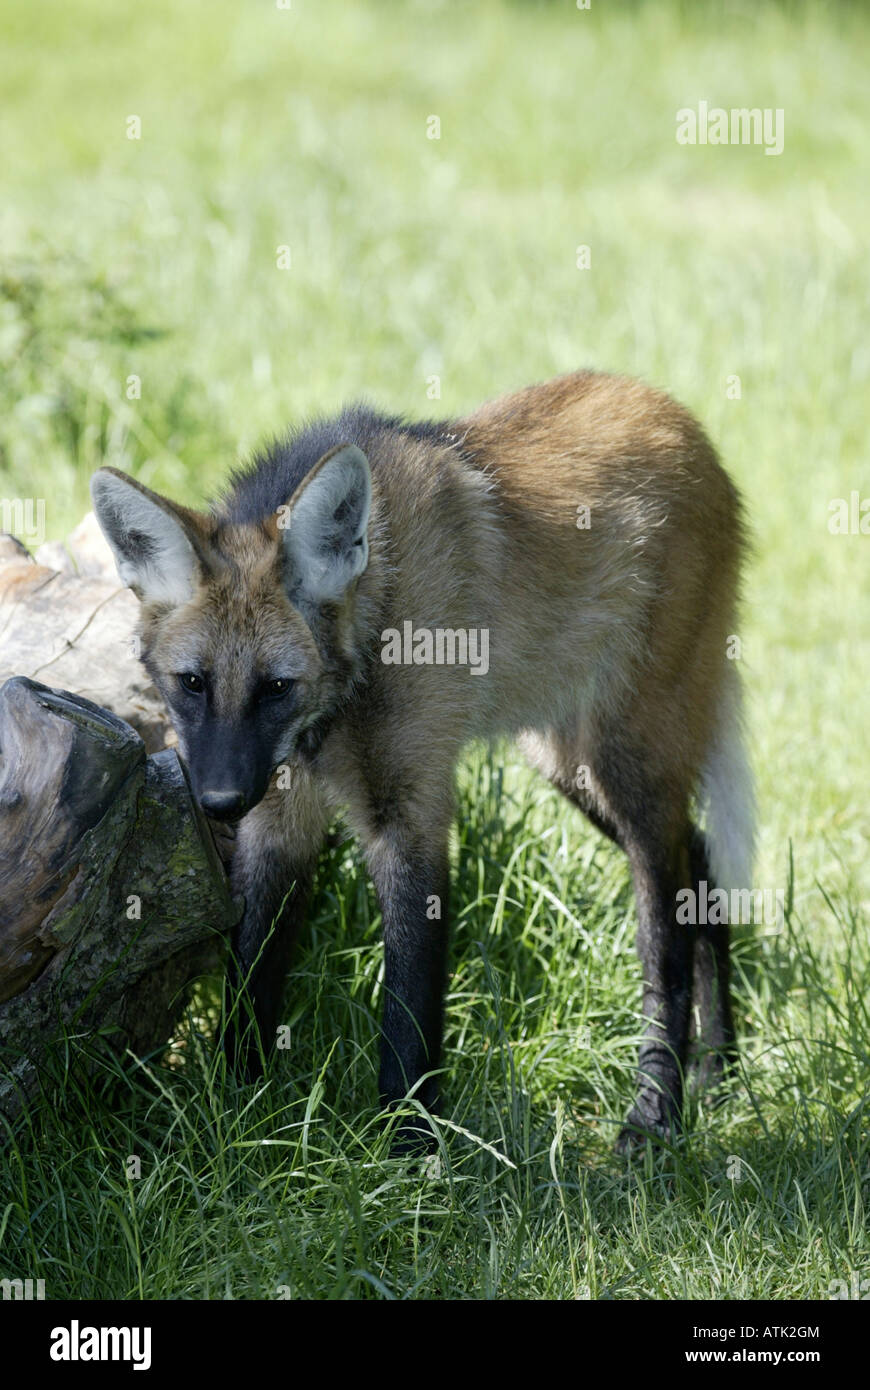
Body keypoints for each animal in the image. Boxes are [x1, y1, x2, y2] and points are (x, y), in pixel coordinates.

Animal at [91, 369, 750, 1150]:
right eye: (192, 683)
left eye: (275, 687)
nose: (219, 801)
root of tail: (679, 415)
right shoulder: (277, 816)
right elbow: (250, 977)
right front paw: (233, 1118)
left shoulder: (408, 813)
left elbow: (408, 1010)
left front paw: (408, 1154)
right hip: (573, 767)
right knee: (699, 862)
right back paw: (717, 1071)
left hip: (626, 764)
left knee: (666, 934)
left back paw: (655, 1115)